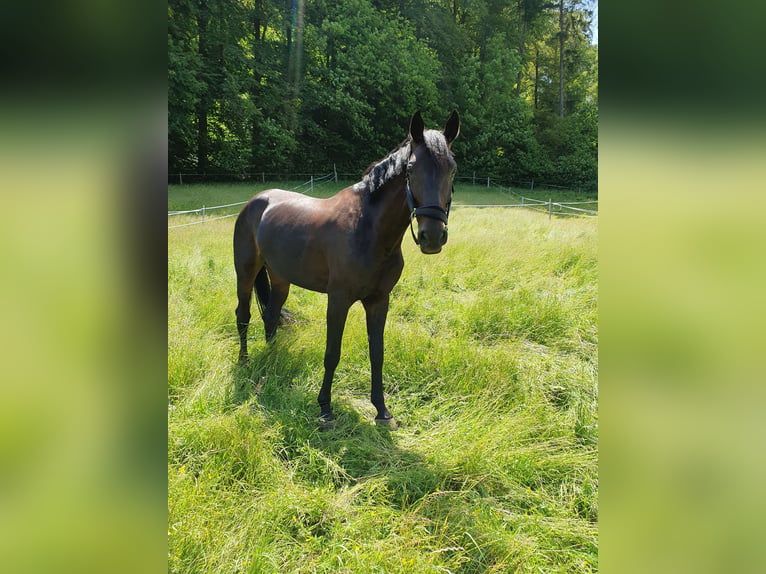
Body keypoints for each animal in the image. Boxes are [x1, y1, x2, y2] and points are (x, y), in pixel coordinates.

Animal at [233, 111, 460, 427]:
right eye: (411, 168)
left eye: (452, 169)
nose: (433, 236)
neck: (369, 229)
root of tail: (257, 201)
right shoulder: (338, 300)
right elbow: (332, 353)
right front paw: (325, 408)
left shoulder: (379, 300)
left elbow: (377, 353)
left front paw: (381, 410)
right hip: (245, 271)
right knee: (243, 316)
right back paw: (245, 362)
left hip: (280, 278)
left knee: (271, 315)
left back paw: (273, 357)